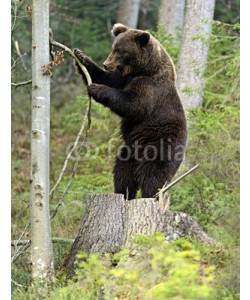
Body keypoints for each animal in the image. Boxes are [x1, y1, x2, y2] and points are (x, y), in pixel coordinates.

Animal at [73, 23, 187, 200]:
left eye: (121, 51)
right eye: (113, 48)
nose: (106, 64)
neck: (143, 70)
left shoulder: (150, 89)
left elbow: (133, 105)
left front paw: (96, 88)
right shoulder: (124, 78)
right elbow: (108, 79)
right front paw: (81, 56)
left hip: (160, 146)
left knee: (152, 176)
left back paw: (151, 195)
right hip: (129, 151)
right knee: (123, 173)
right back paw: (124, 193)